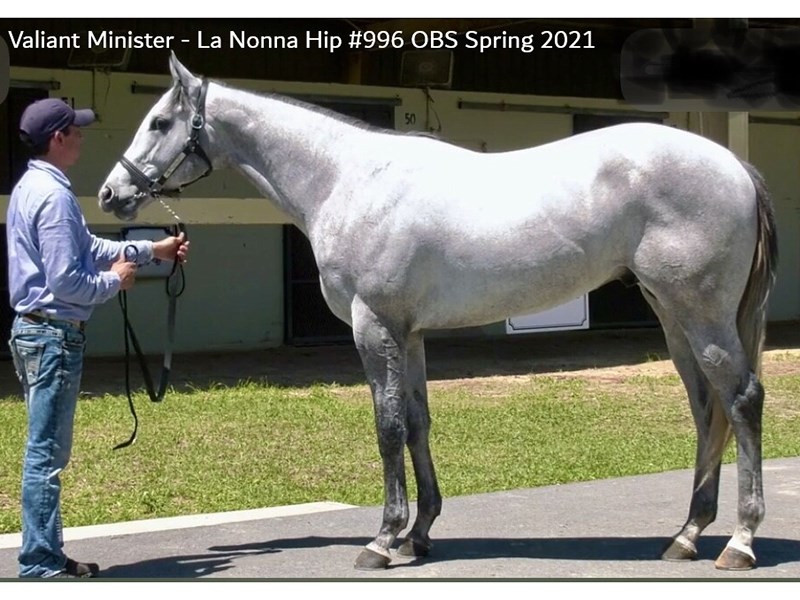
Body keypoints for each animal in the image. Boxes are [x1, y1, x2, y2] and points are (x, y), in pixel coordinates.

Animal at [98, 53, 778, 572]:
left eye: (161, 121)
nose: (111, 193)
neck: (349, 180)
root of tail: (733, 165)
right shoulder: (410, 334)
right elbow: (419, 424)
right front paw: (419, 534)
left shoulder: (374, 327)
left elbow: (388, 428)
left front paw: (382, 540)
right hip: (672, 315)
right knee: (707, 408)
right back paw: (686, 536)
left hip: (701, 314)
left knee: (742, 400)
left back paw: (739, 543)